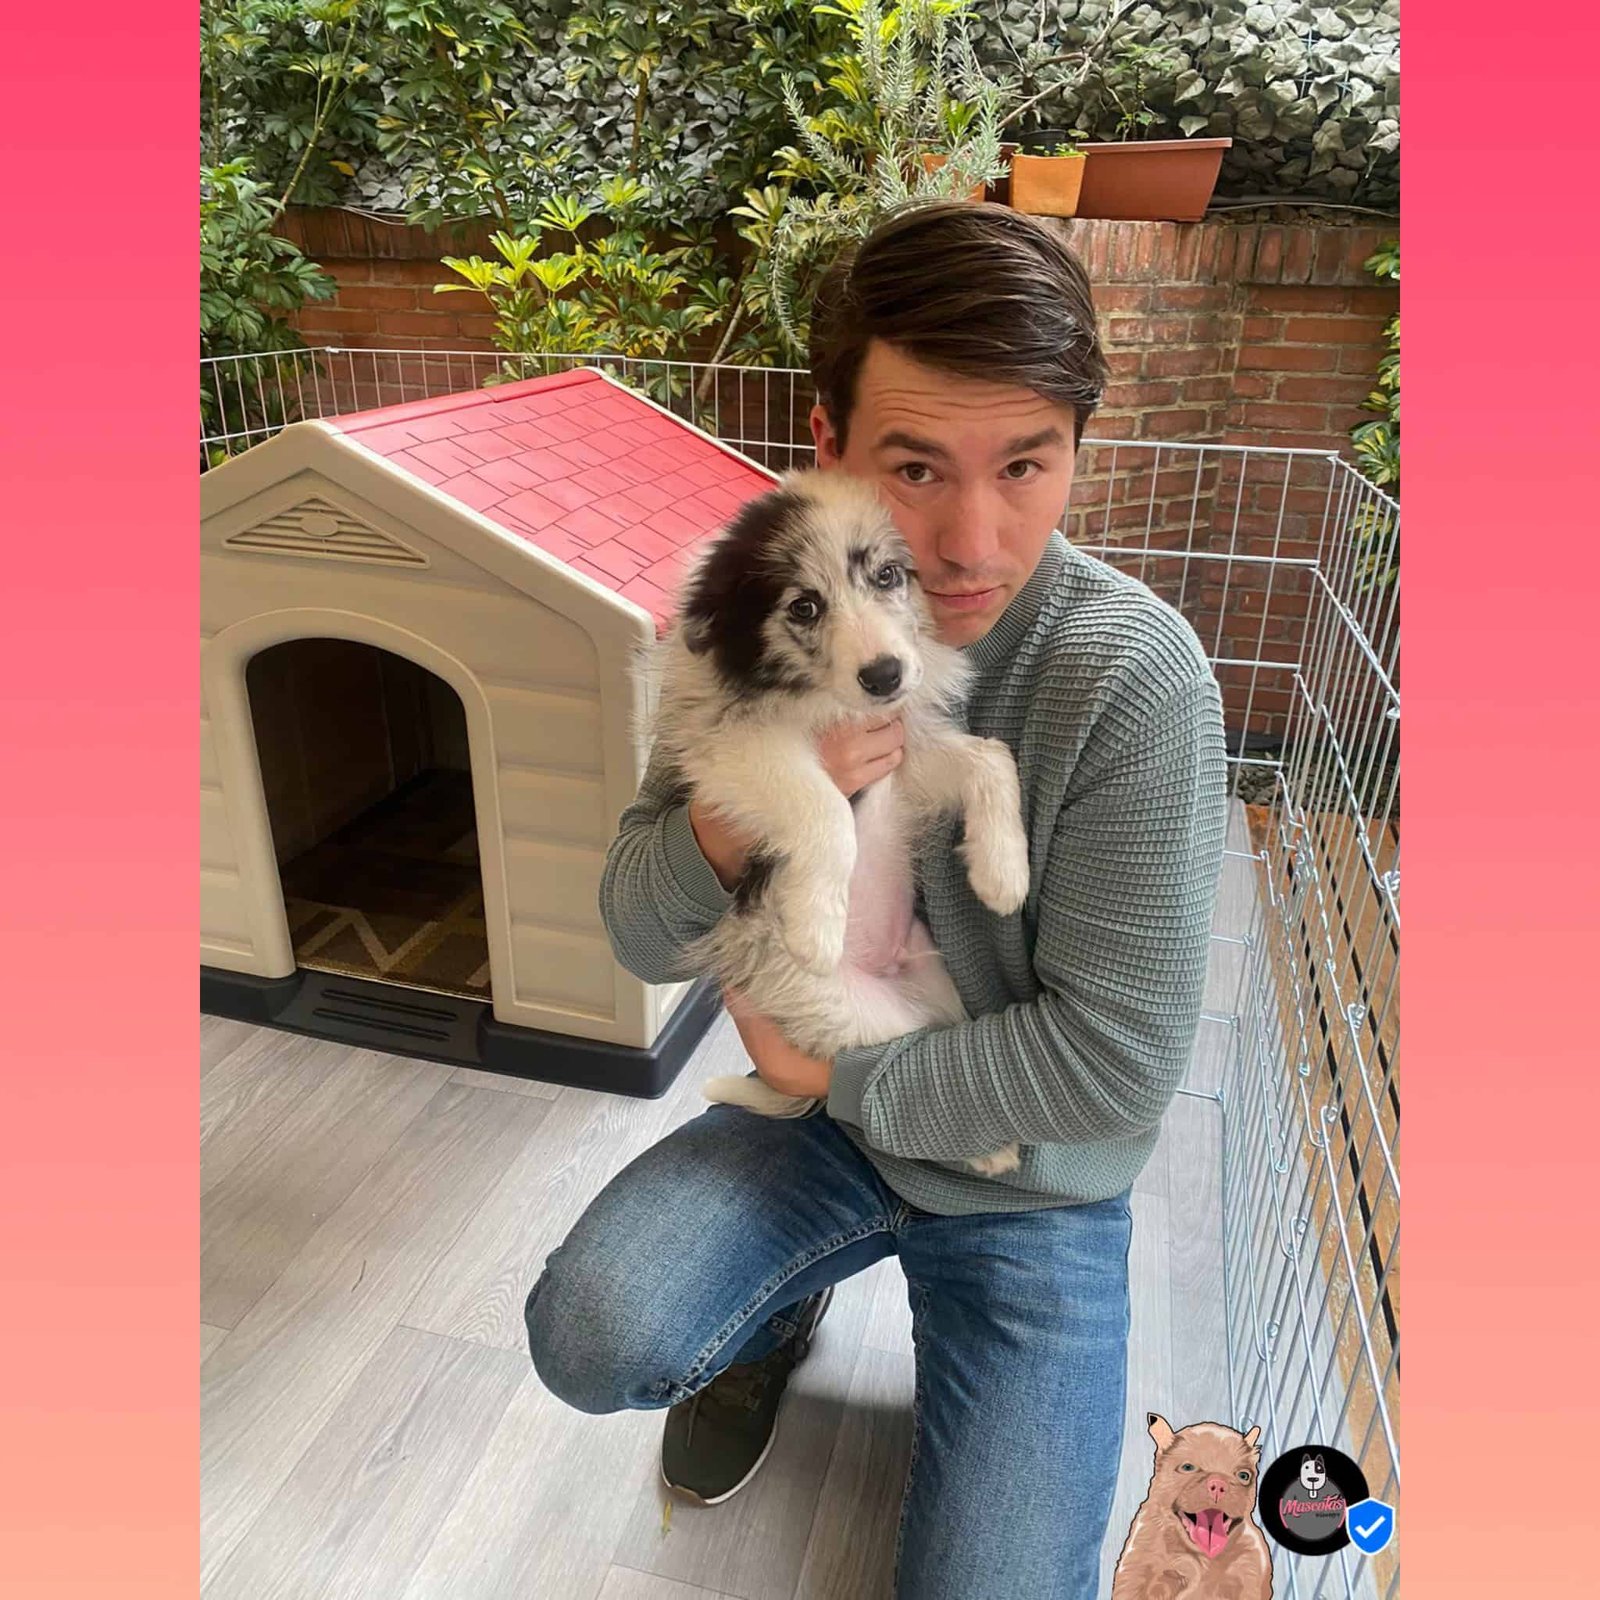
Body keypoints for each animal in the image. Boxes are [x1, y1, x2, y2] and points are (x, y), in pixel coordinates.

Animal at [632, 468, 1030, 1176]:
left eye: (888, 576)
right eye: (804, 608)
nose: (884, 676)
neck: (821, 701)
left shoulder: (902, 750)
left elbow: (991, 757)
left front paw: (1004, 874)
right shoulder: (730, 749)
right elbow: (826, 810)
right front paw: (816, 924)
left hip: (936, 992)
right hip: (856, 1017)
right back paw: (991, 1149)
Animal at [1110, 1414, 1274, 1599]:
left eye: (1244, 1476)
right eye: (1188, 1467)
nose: (1219, 1484)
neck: (1203, 1557)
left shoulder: (1249, 1574)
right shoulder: (1139, 1573)